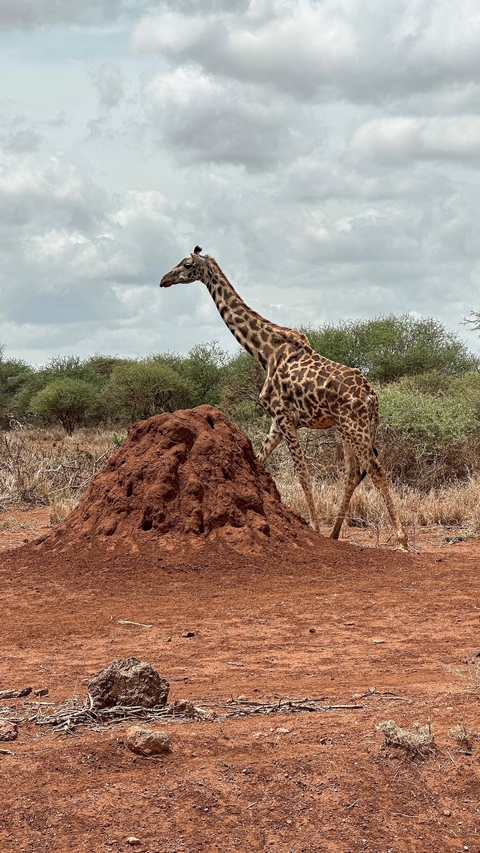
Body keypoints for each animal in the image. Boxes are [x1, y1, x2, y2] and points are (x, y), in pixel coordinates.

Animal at [160, 247, 408, 551]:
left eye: (186, 264)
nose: (163, 279)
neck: (264, 352)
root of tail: (372, 396)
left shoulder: (285, 417)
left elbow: (302, 475)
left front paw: (313, 528)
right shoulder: (276, 423)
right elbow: (258, 461)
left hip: (355, 426)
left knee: (375, 470)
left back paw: (401, 539)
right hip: (348, 427)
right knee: (353, 473)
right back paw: (334, 534)